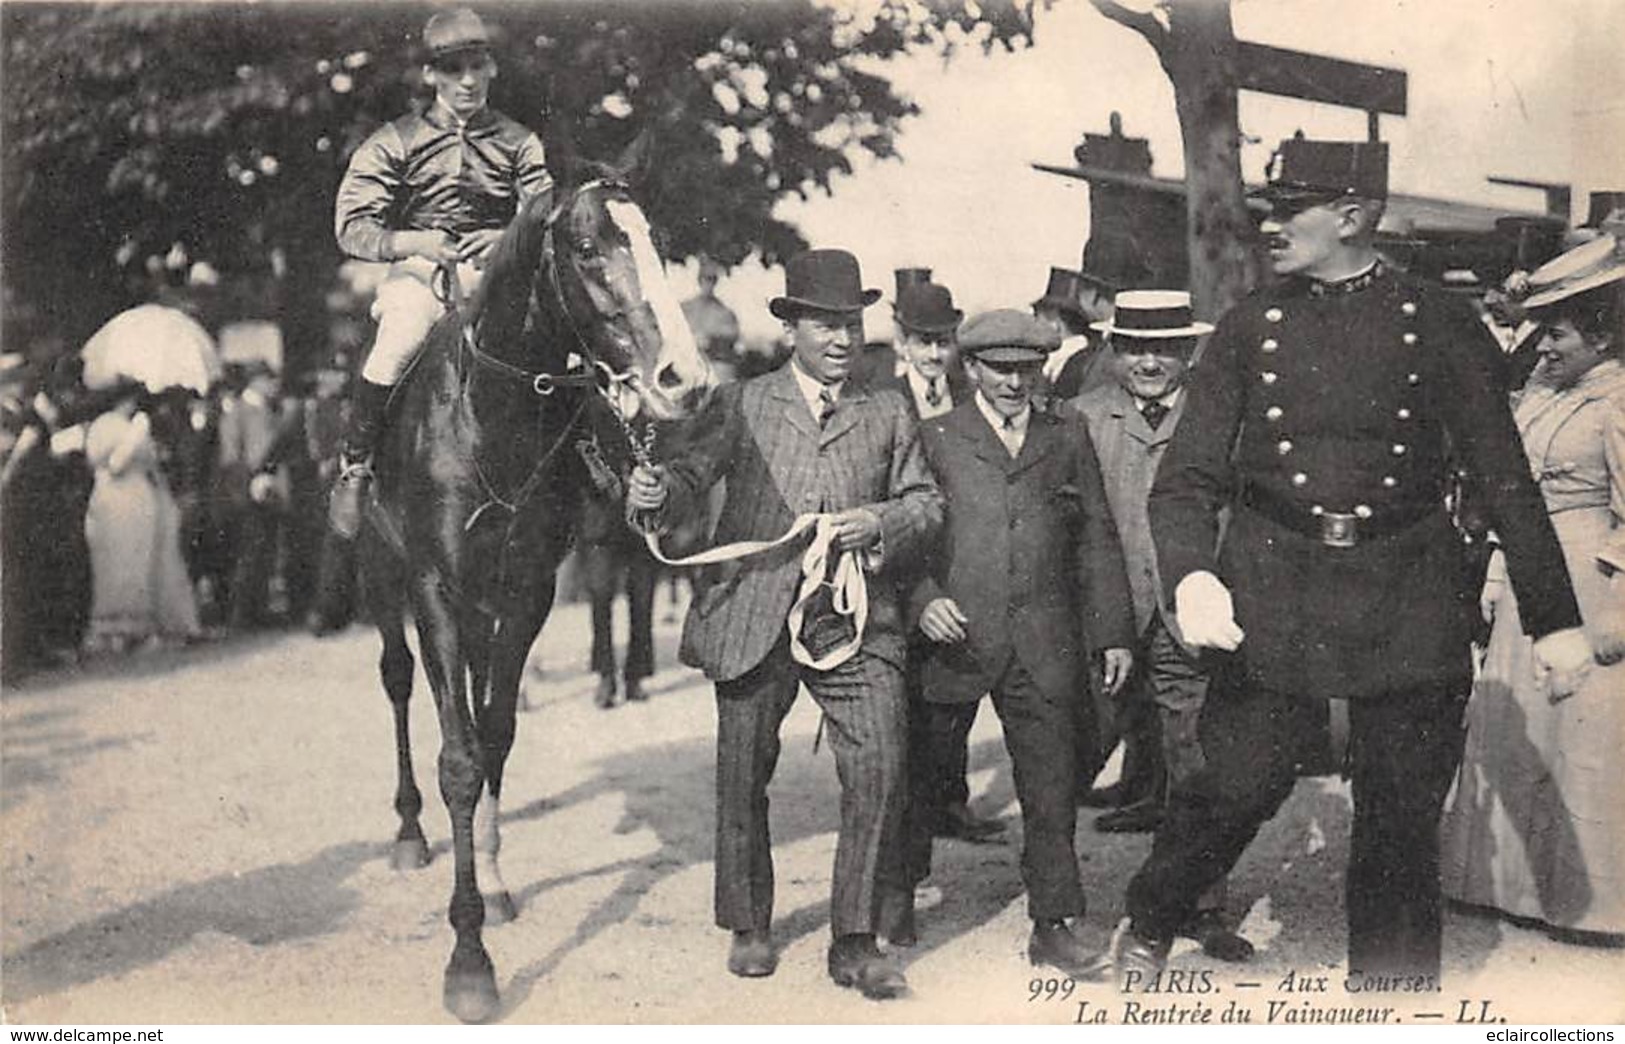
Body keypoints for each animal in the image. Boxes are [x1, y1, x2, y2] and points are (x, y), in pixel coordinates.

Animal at [355, 166, 711, 1021]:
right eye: (585, 247)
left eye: (659, 239)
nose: (684, 380)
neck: (490, 419)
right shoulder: (433, 589)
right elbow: (457, 758)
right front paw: (468, 961)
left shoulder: (526, 593)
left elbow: (496, 735)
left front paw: (490, 881)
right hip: (381, 575)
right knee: (397, 681)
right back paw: (409, 832)